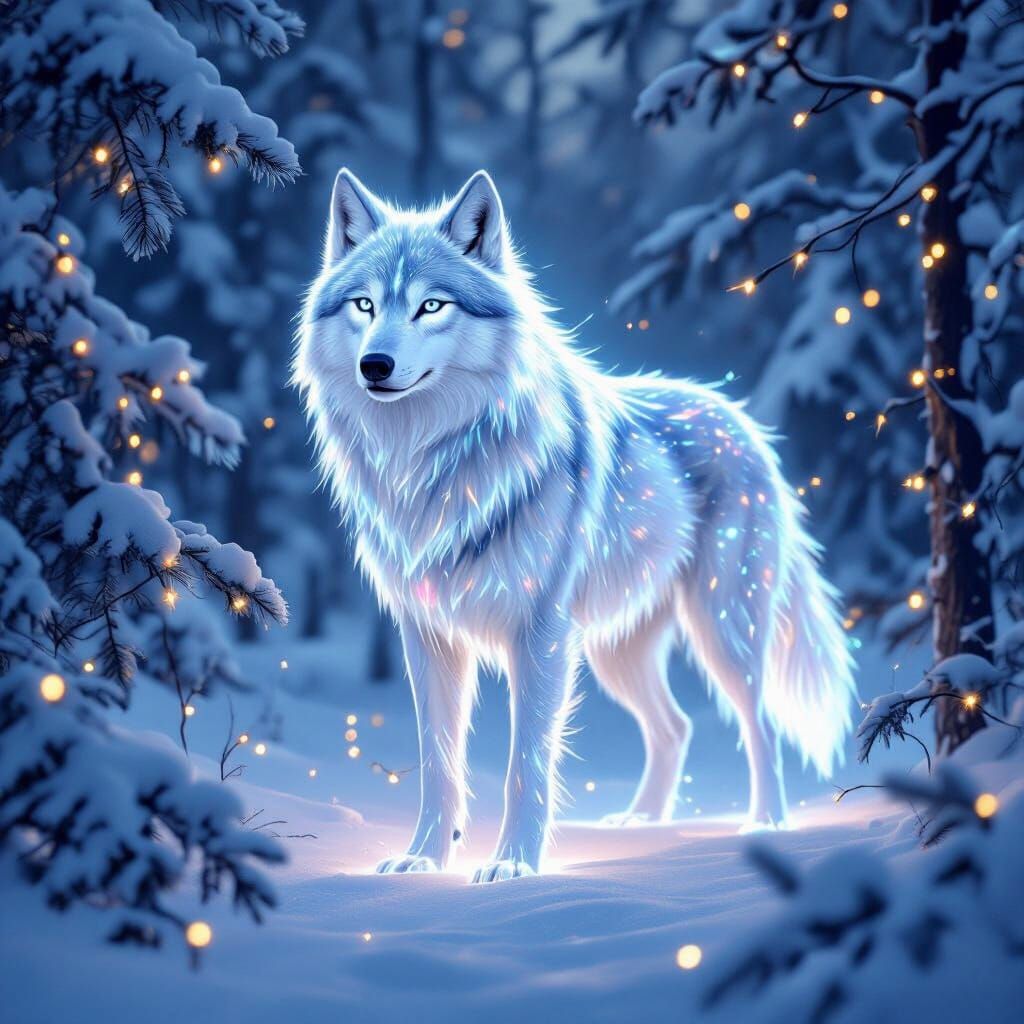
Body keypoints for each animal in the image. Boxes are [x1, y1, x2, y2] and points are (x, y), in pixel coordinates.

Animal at [295, 169, 856, 883]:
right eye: (364, 305)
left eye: (431, 306)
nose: (375, 365)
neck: (433, 463)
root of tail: (740, 418)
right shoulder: (427, 636)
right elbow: (439, 762)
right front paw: (424, 858)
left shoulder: (538, 636)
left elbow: (525, 764)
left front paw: (513, 866)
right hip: (615, 652)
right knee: (676, 727)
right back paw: (642, 823)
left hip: (722, 628)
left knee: (759, 726)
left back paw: (765, 825)